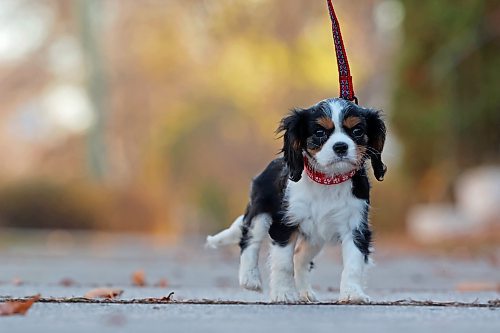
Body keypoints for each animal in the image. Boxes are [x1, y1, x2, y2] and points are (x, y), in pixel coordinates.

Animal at [205, 97, 384, 302]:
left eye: (357, 131)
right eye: (319, 132)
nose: (341, 146)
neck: (328, 180)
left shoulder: (355, 227)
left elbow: (354, 263)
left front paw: (353, 294)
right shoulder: (285, 224)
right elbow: (283, 263)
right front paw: (283, 294)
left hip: (315, 237)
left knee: (299, 257)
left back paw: (305, 292)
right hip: (260, 211)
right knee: (249, 240)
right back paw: (249, 278)